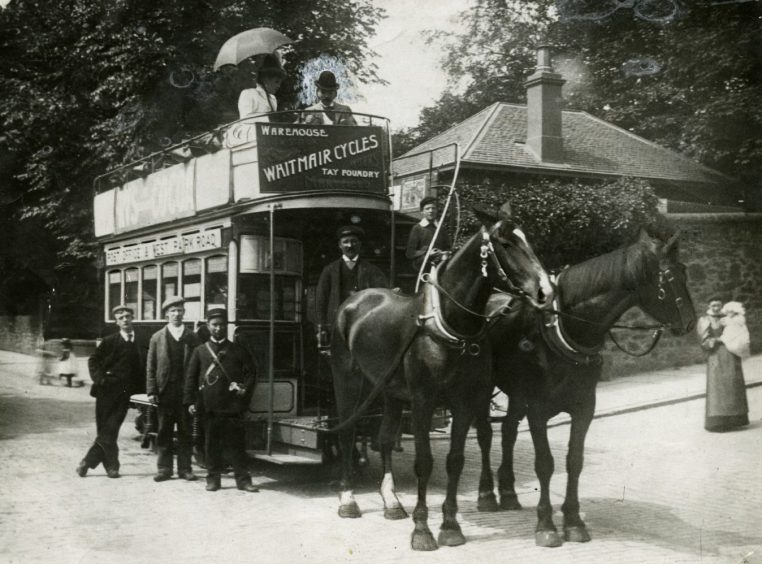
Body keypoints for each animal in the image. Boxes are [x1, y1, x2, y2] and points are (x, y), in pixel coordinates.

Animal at [330, 203, 548, 552]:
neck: (449, 323)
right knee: (348, 431)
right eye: (506, 244)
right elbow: (424, 462)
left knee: (385, 437)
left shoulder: (464, 401)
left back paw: (391, 502)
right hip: (348, 381)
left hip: (390, 389)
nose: (544, 292)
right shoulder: (423, 401)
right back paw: (348, 499)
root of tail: (354, 300)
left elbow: (454, 460)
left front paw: (450, 526)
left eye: (528, 240)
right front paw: (422, 530)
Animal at [476, 220, 696, 548]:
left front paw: (573, 521)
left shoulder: (583, 408)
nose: (691, 323)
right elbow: (545, 463)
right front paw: (546, 525)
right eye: (670, 277)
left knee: (508, 431)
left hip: (516, 393)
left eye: (685, 271)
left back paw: (509, 492)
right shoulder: (538, 409)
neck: (564, 327)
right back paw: (487, 494)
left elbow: (574, 461)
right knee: (485, 434)